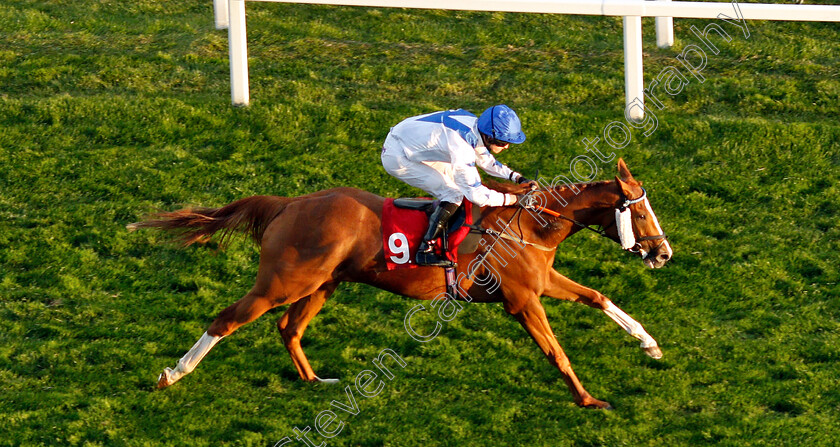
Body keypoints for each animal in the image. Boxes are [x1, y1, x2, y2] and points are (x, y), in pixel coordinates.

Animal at [130, 159, 668, 412]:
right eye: (641, 212)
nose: (663, 253)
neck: (531, 225)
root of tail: (288, 203)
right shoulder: (520, 300)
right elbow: (557, 351)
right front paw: (588, 399)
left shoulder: (541, 280)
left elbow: (599, 297)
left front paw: (651, 345)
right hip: (283, 282)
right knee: (228, 319)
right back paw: (172, 374)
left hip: (322, 283)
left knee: (288, 327)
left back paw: (313, 380)